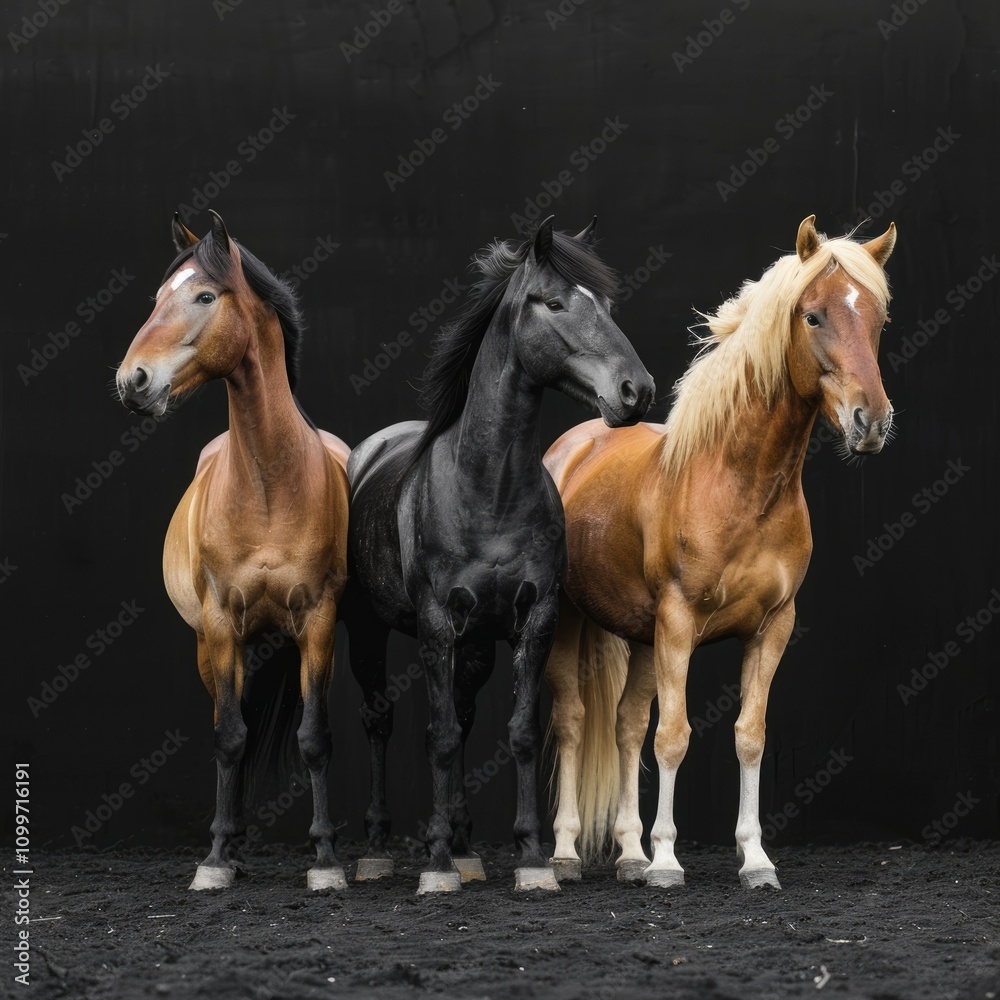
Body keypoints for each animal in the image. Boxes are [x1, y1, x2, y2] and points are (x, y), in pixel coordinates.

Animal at [116, 212, 351, 891]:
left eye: (203, 296)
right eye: (157, 298)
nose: (132, 381)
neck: (269, 482)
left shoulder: (318, 623)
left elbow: (314, 738)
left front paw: (326, 861)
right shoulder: (221, 624)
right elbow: (228, 737)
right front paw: (217, 858)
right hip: (216, 645)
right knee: (233, 722)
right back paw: (234, 843)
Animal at [344, 216, 655, 894]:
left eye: (607, 303)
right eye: (555, 303)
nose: (636, 391)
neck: (487, 491)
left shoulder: (532, 622)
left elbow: (517, 733)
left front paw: (533, 858)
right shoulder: (436, 626)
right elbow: (437, 736)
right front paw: (434, 865)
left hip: (479, 645)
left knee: (462, 714)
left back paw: (465, 847)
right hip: (366, 630)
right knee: (380, 721)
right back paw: (380, 848)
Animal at [543, 215, 897, 889]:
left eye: (879, 318)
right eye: (813, 315)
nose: (870, 422)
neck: (741, 485)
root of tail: (573, 445)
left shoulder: (772, 626)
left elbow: (748, 735)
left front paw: (754, 859)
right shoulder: (680, 623)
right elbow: (675, 736)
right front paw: (667, 860)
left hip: (641, 636)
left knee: (627, 724)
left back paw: (628, 853)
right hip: (573, 622)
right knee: (573, 720)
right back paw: (567, 852)